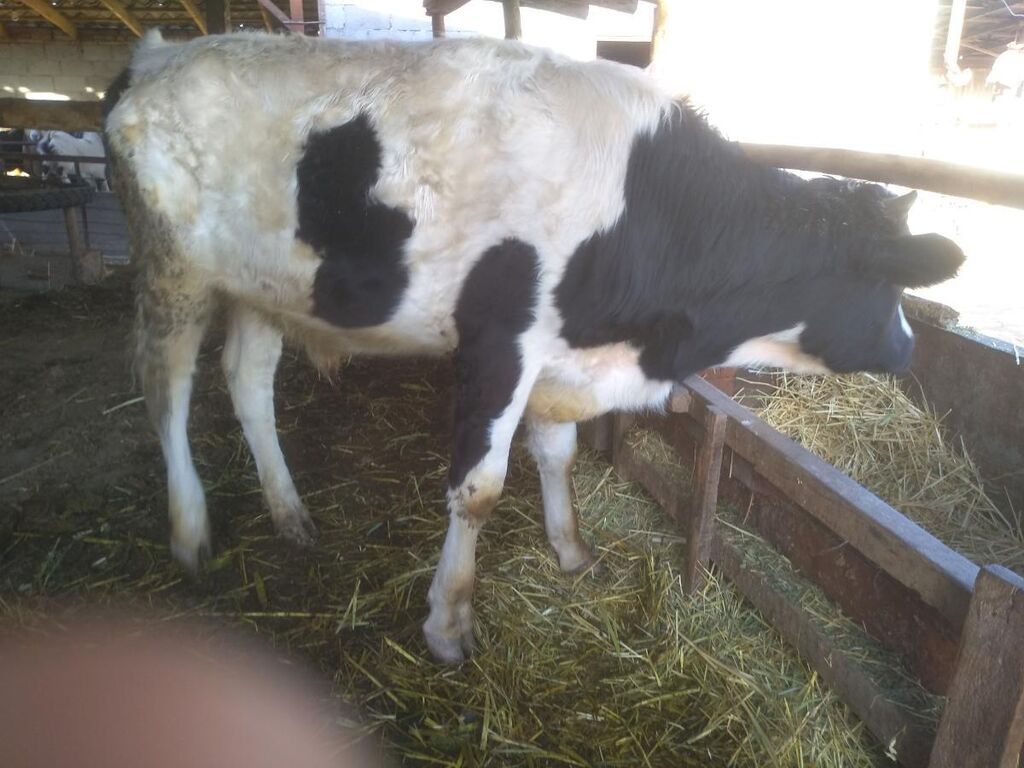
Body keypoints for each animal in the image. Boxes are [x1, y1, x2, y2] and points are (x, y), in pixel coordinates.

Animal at [104, 31, 964, 663]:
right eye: (892, 291)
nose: (908, 348)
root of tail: (157, 54)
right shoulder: (502, 342)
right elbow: (480, 488)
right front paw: (449, 623)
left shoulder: (559, 354)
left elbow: (559, 454)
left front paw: (572, 548)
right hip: (172, 271)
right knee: (165, 389)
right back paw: (189, 529)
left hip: (263, 287)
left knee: (247, 383)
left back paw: (289, 513)